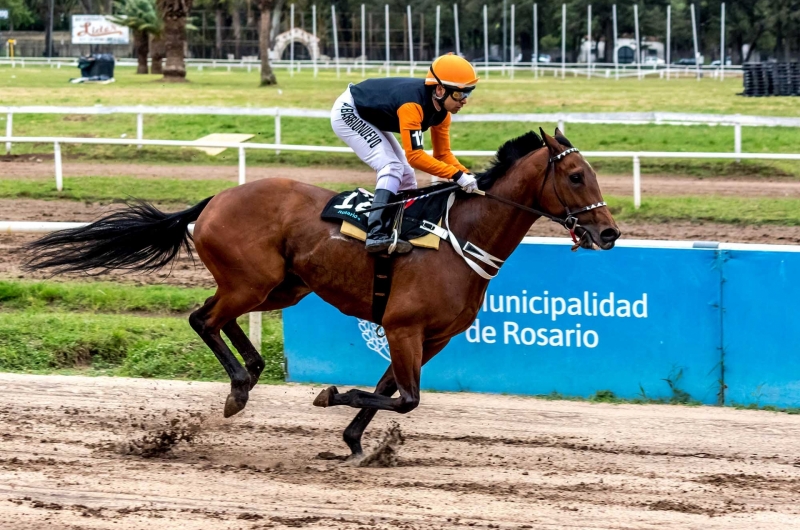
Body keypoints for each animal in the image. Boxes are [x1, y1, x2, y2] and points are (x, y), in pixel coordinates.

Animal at [26, 128, 620, 454]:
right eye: (575, 177)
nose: (609, 233)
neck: (459, 238)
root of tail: (215, 198)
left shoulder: (431, 338)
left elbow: (391, 390)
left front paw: (355, 442)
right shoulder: (403, 326)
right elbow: (405, 397)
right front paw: (330, 396)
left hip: (282, 288)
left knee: (216, 318)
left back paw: (252, 372)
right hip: (251, 280)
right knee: (203, 319)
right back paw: (239, 386)